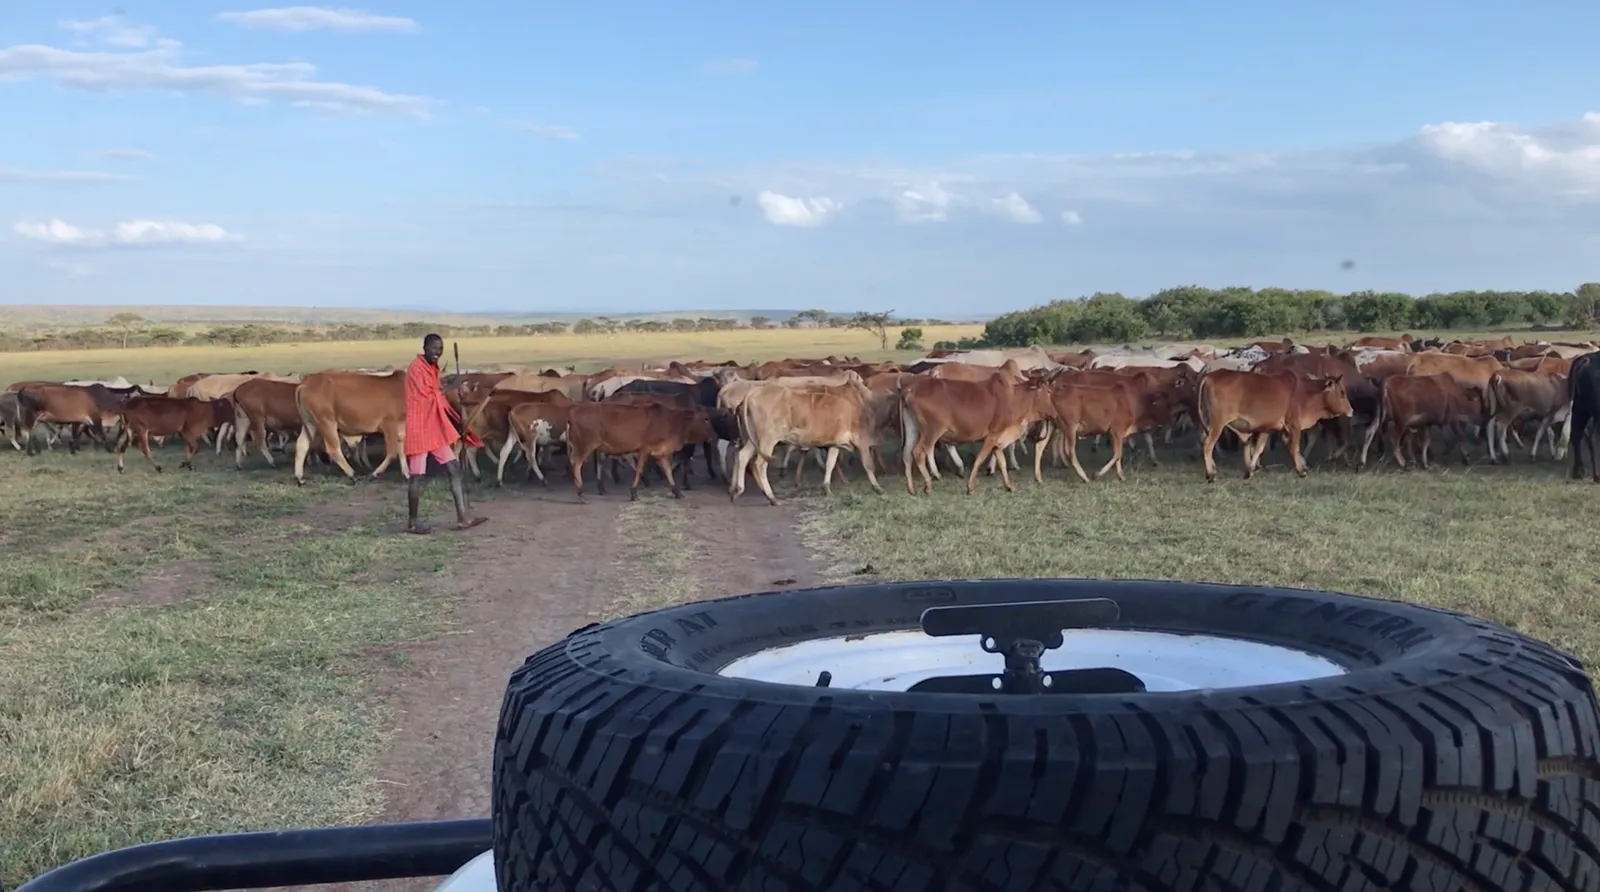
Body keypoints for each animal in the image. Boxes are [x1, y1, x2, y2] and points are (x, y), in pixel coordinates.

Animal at [1197, 370, 1354, 481]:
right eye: (1342, 393)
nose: (1351, 410)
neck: (1305, 393)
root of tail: (1209, 376)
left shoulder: (1268, 429)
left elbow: (1259, 449)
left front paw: (1250, 471)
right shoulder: (1294, 425)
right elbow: (1295, 447)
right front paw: (1301, 470)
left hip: (1209, 424)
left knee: (1204, 442)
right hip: (1217, 424)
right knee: (1208, 445)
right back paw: (1211, 474)